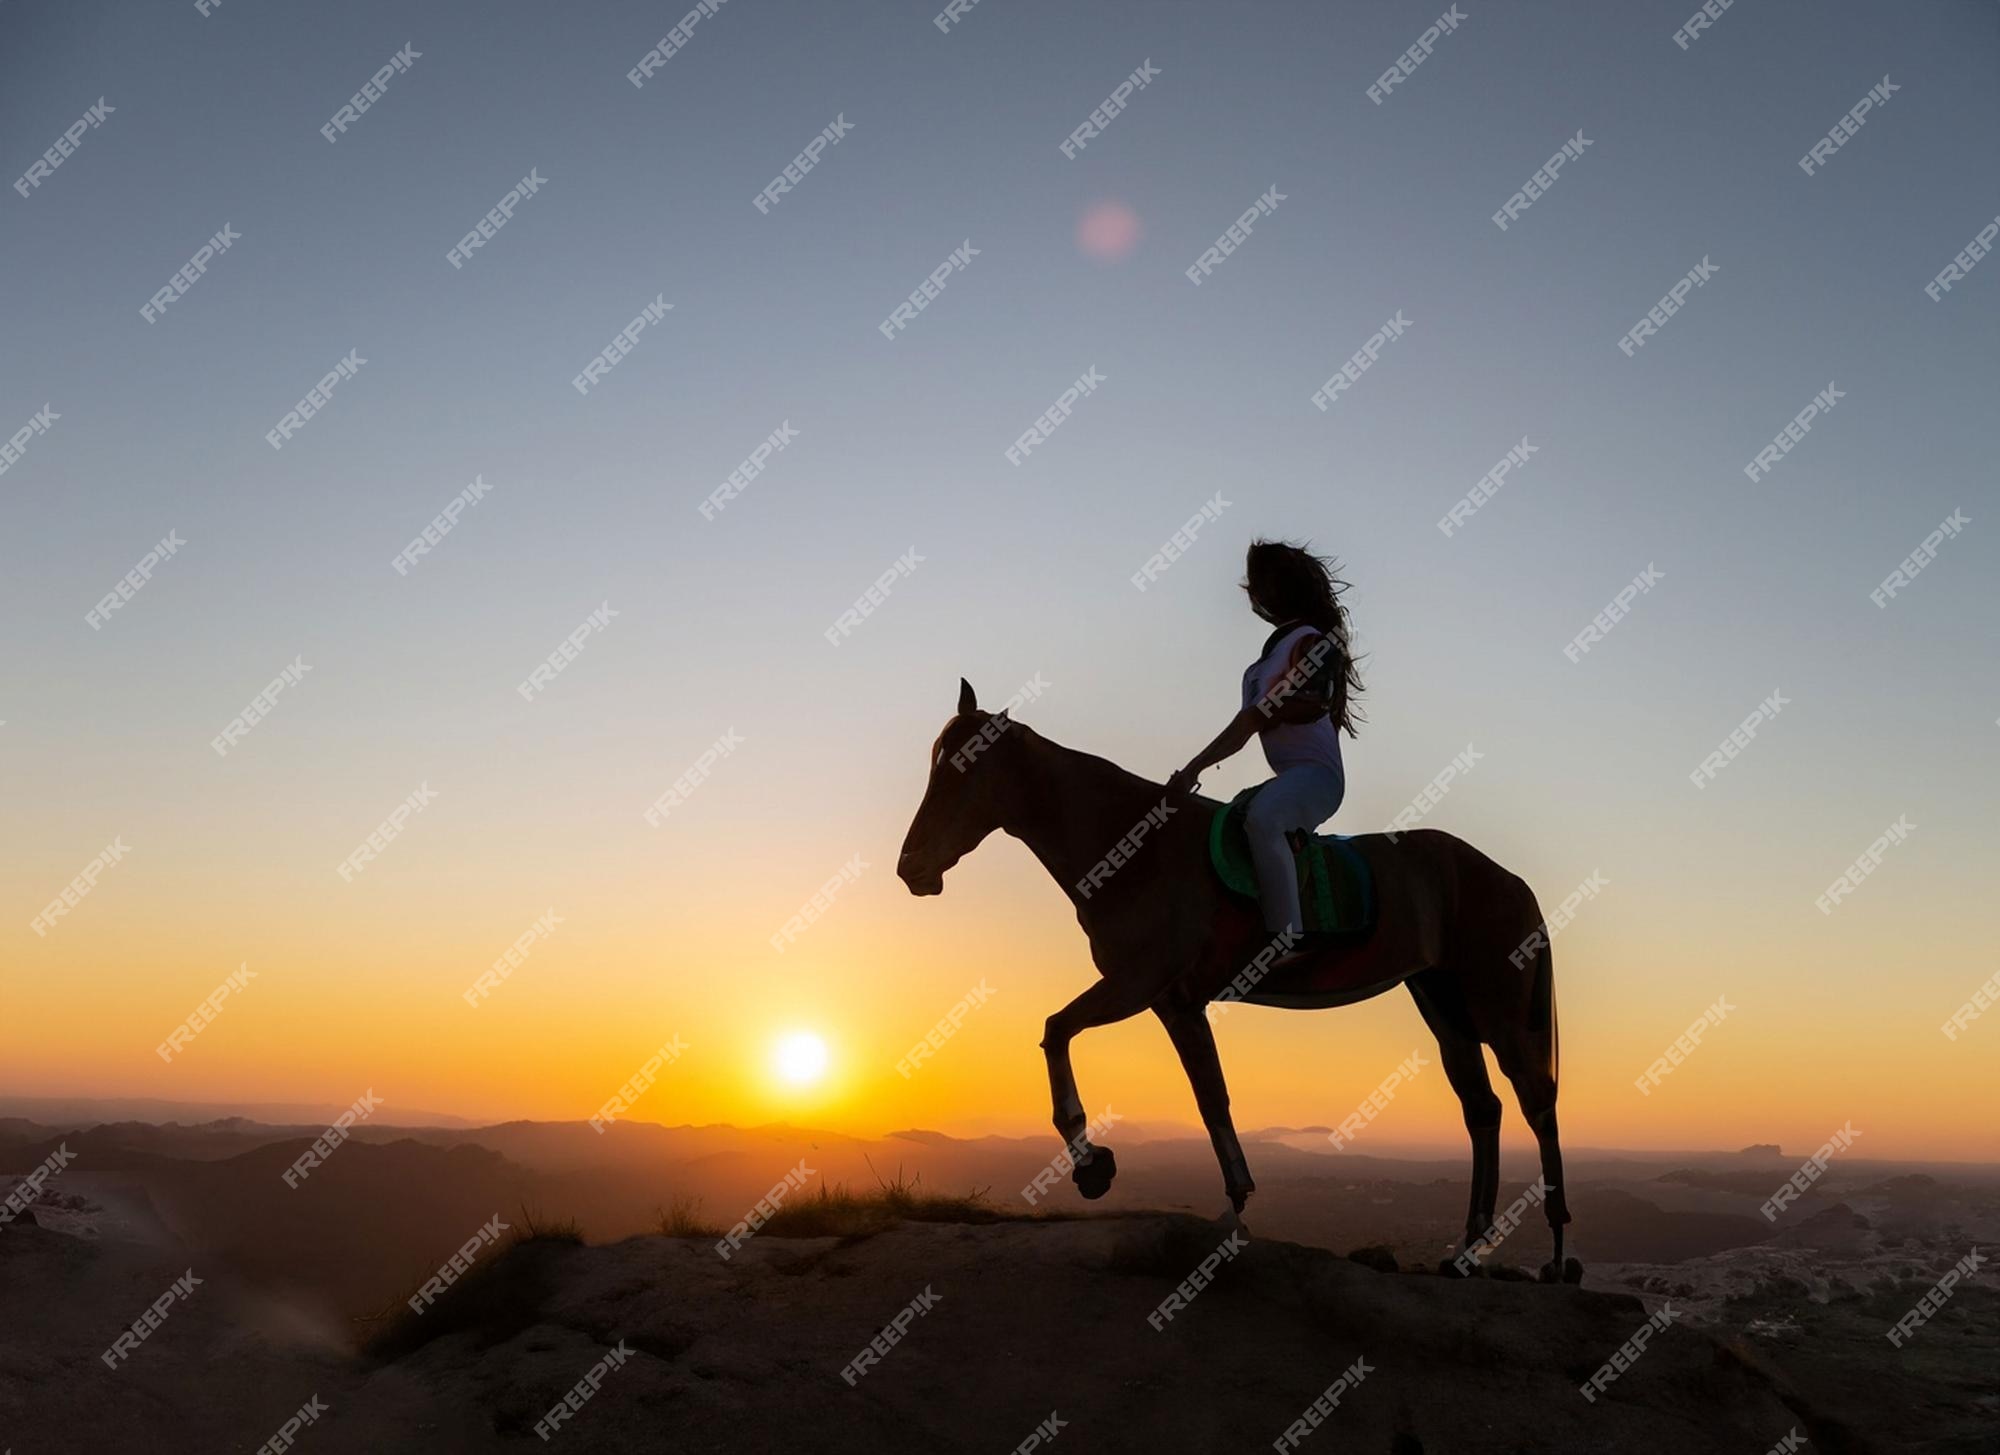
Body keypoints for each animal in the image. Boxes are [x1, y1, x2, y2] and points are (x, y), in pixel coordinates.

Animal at [900, 675, 1584, 1279]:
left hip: (1500, 1014)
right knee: (1483, 1109)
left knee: (1538, 1104)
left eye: (961, 770)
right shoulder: (1174, 1003)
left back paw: (1556, 1256)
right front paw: (1235, 1205)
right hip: (1446, 1010)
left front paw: (1092, 1165)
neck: (1133, 846)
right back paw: (1466, 1252)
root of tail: (1510, 880)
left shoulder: (1137, 983)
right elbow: (1211, 1098)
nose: (912, 867)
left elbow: (1056, 1029)